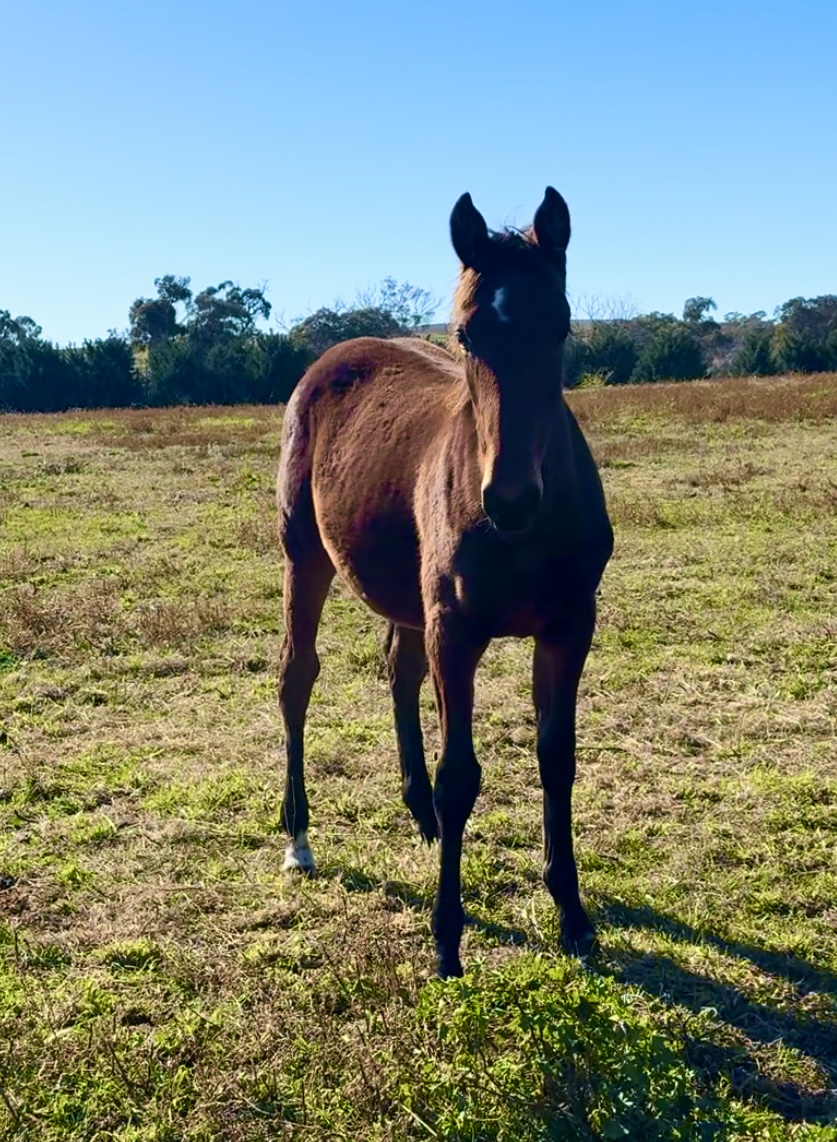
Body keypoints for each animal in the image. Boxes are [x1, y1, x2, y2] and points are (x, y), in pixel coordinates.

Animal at [276, 187, 613, 979]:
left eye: (560, 328)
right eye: (464, 334)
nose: (509, 500)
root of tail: (334, 355)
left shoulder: (568, 628)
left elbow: (556, 758)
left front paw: (572, 915)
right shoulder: (455, 630)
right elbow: (460, 774)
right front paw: (446, 937)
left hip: (405, 594)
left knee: (398, 673)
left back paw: (418, 813)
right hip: (305, 558)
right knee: (296, 677)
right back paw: (299, 836)